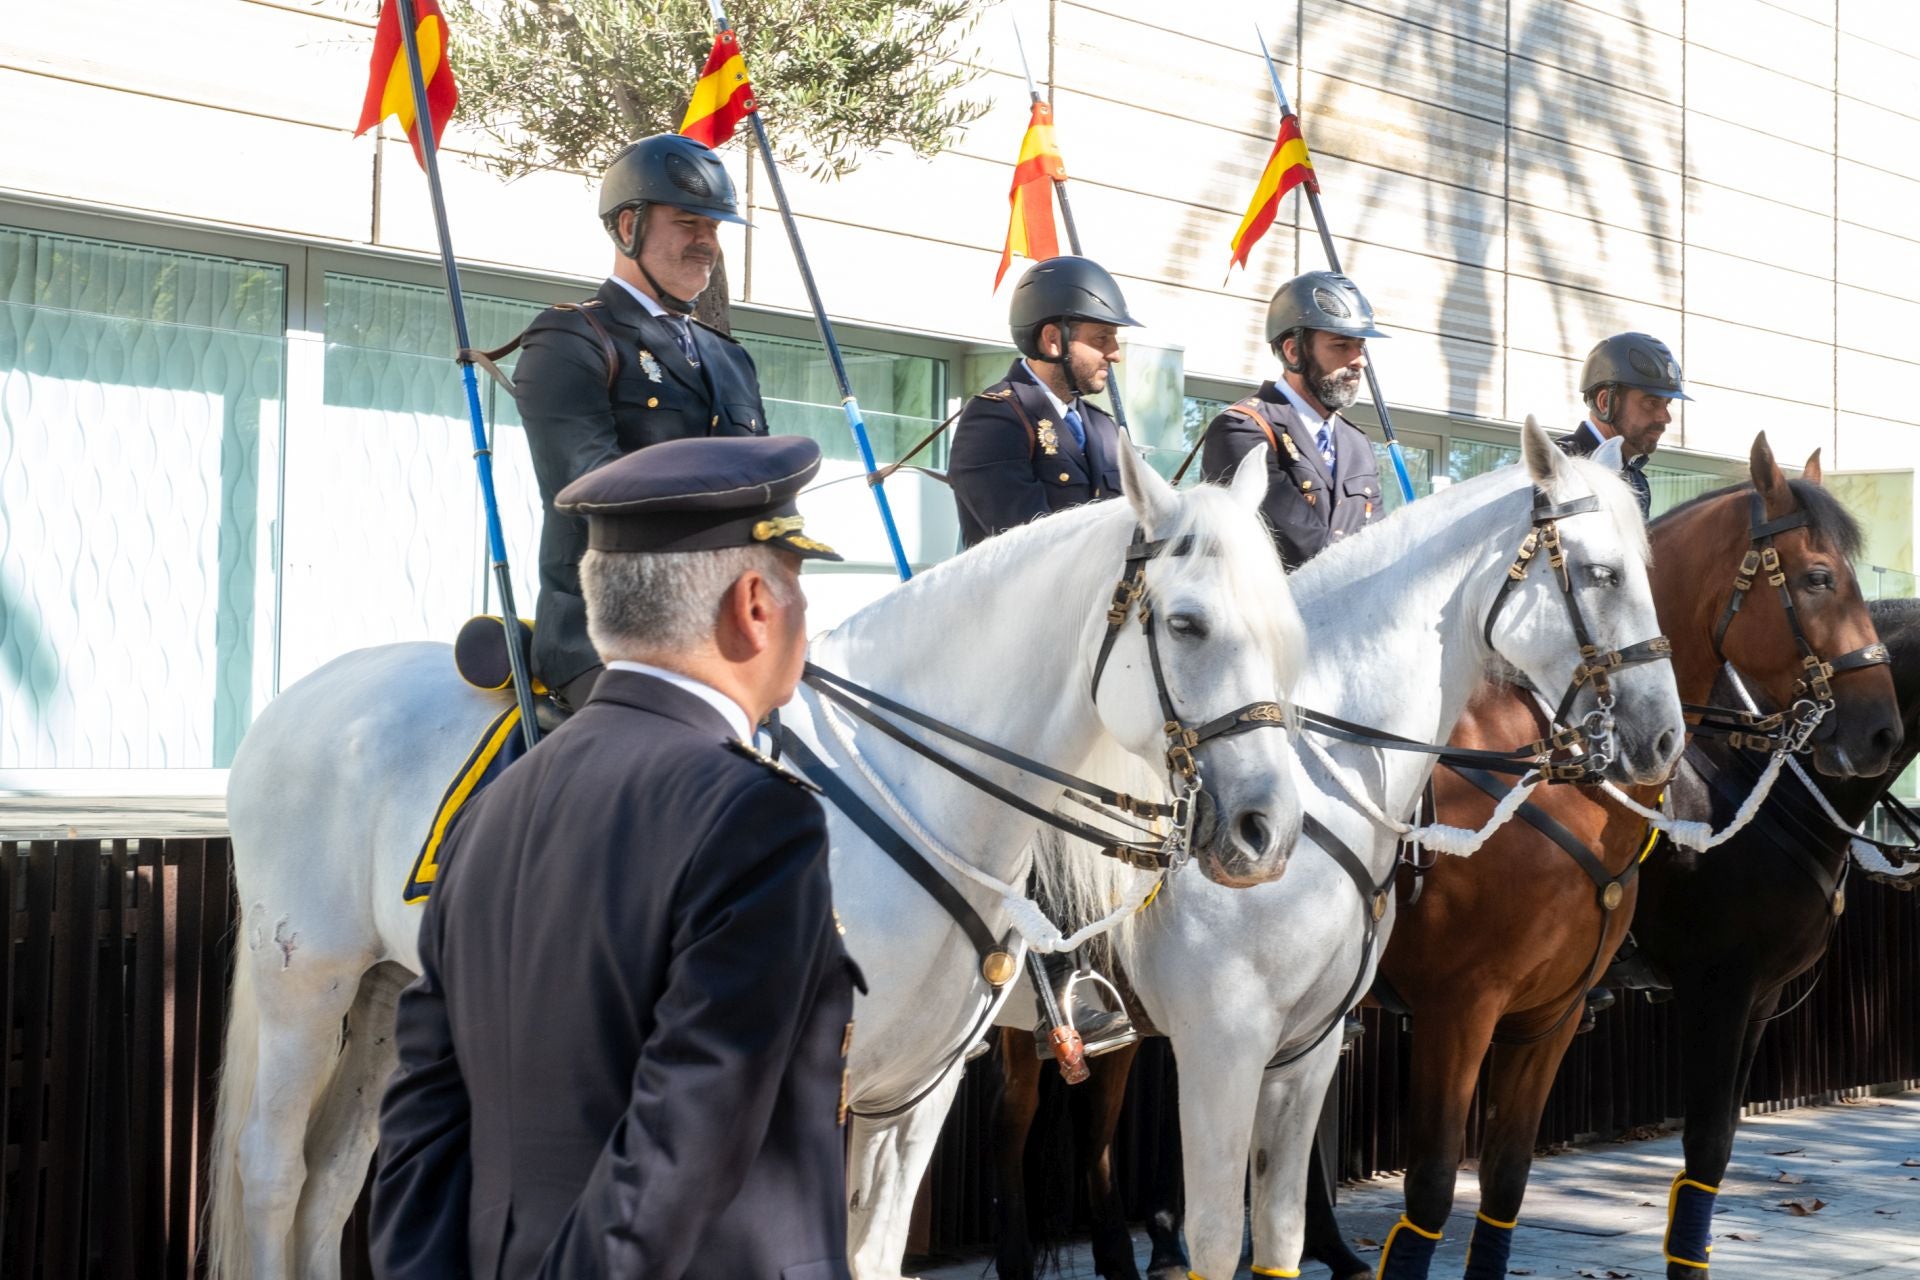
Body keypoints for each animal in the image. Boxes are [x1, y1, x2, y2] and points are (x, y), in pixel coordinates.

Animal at [210, 437, 1313, 1274]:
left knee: (334, 1178)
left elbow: (874, 1253)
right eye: (1186, 623)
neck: (913, 784)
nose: (1269, 830)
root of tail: (300, 697)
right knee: (273, 1171)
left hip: (390, 992)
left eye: (1283, 628)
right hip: (305, 983)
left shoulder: (914, 1099)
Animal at [1105, 426, 1689, 1280]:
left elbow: (1498, 1179)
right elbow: (1430, 1184)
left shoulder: (1532, 1017)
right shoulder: (1429, 1012)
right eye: (1602, 573)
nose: (1665, 737)